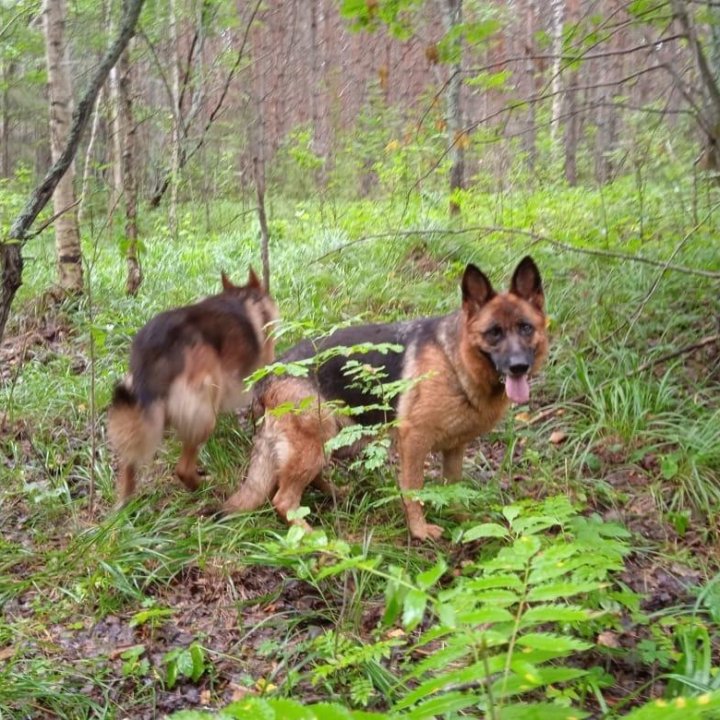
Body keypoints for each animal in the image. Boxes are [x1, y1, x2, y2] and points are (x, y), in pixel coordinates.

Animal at [109, 268, 278, 504]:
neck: (244, 296)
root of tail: (156, 347)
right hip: (205, 411)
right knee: (183, 469)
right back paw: (205, 487)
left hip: (141, 410)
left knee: (129, 461)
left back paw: (126, 503)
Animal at [222, 256, 548, 536]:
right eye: (494, 333)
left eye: (526, 328)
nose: (519, 366)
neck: (455, 359)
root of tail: (269, 372)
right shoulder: (413, 442)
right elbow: (413, 490)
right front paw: (419, 531)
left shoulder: (455, 448)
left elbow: (453, 488)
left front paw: (461, 519)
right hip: (317, 439)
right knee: (283, 500)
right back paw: (311, 536)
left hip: (328, 439)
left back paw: (334, 494)